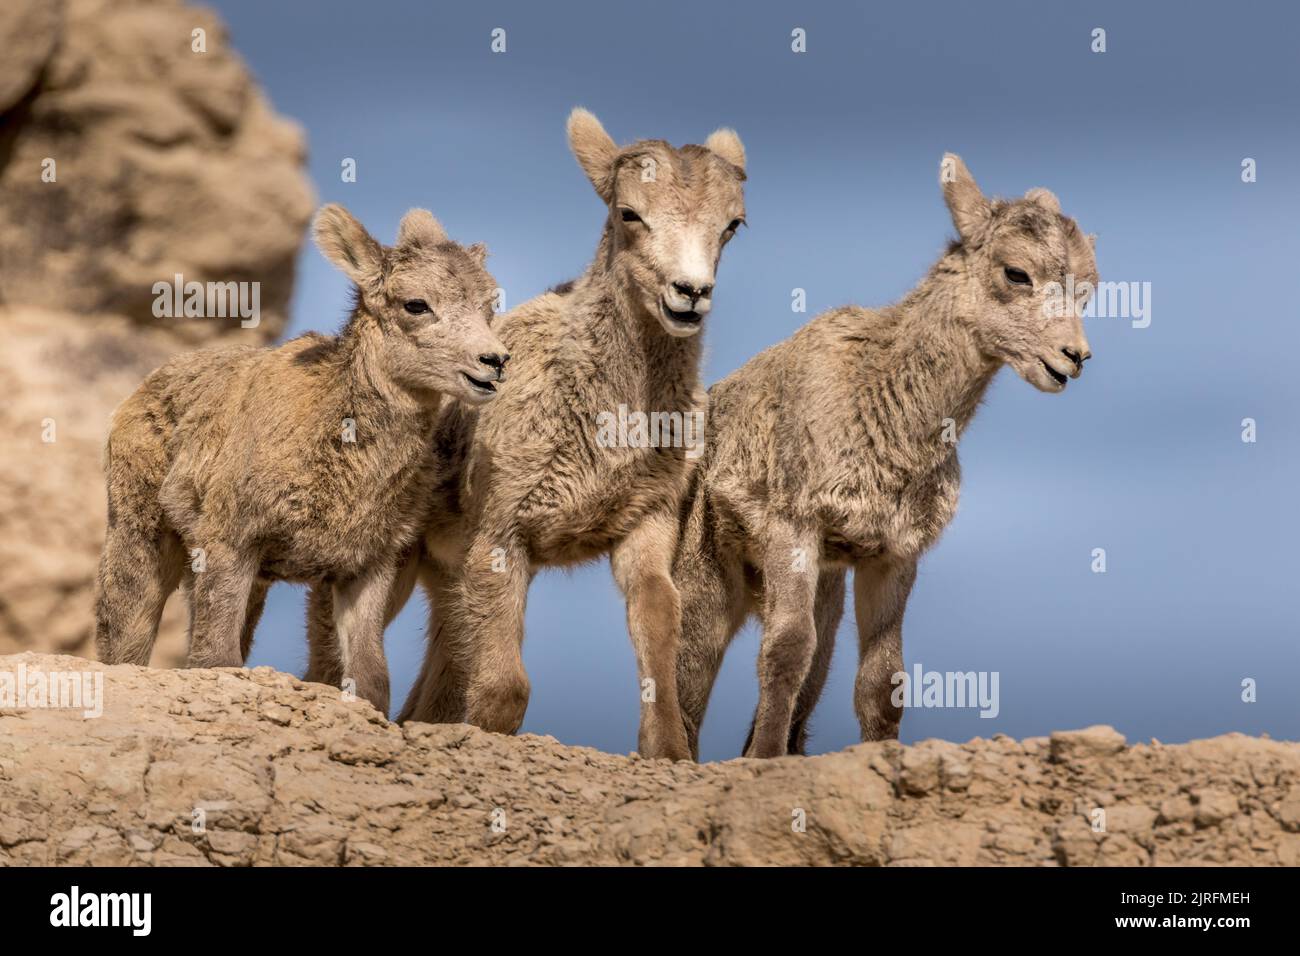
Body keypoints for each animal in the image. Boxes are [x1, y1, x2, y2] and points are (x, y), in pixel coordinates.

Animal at [94, 201, 509, 712]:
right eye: (416, 304)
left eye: (489, 307)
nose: (494, 362)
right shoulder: (231, 543)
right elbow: (216, 658)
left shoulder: (367, 569)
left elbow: (370, 680)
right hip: (141, 534)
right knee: (125, 636)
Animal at [676, 153, 1102, 759]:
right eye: (1016, 273)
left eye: (1088, 288)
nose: (1073, 358)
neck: (878, 403)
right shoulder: (791, 529)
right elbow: (785, 653)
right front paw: (763, 763)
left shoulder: (891, 556)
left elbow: (882, 681)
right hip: (705, 584)